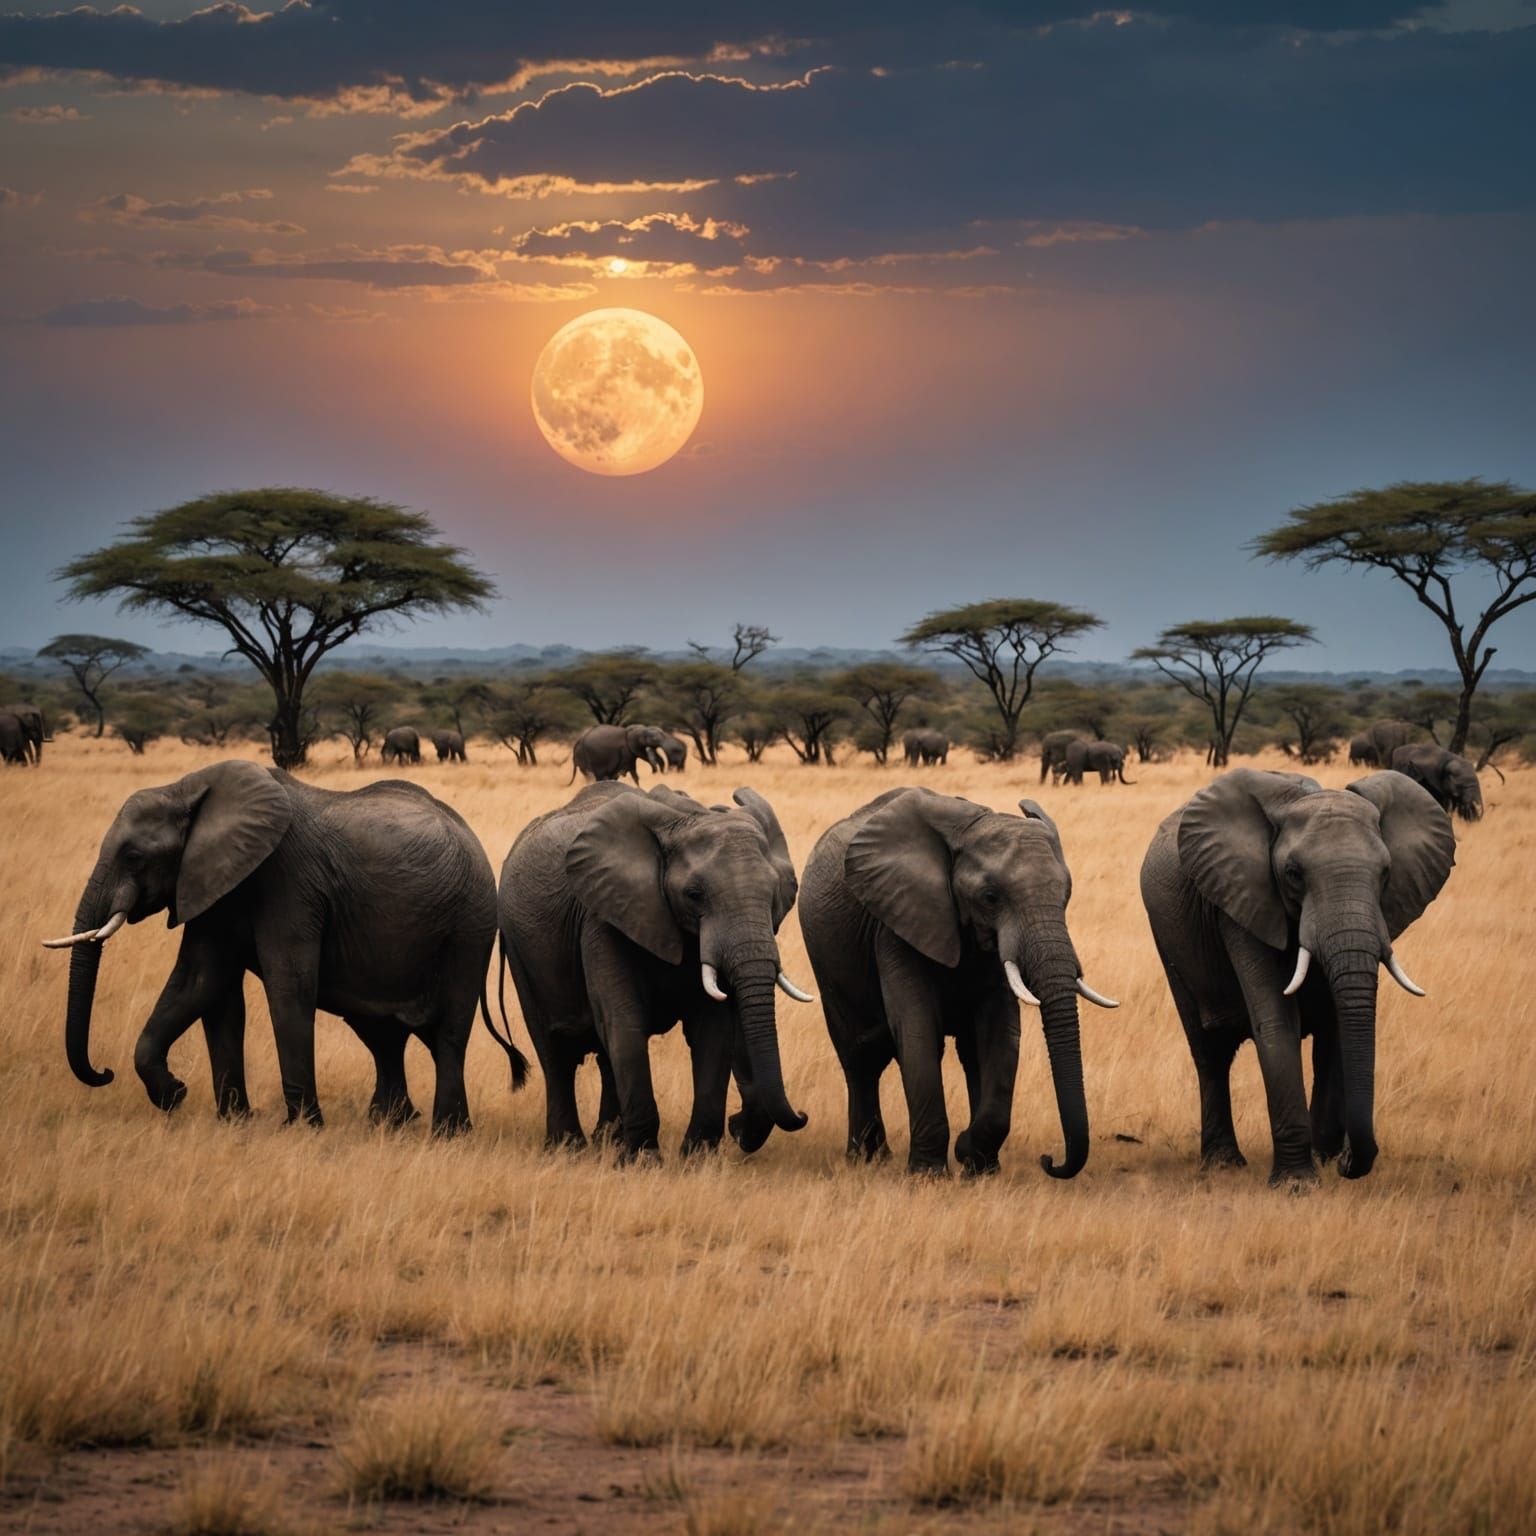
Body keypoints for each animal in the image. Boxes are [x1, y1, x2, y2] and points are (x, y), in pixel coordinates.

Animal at [42, 759, 524, 1132]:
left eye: (134, 857)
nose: (103, 1071)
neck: (188, 789)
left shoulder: (289, 881)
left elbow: (288, 985)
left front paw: (303, 1127)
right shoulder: (216, 885)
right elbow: (203, 983)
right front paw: (213, 1112)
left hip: (470, 925)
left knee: (448, 1033)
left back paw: (448, 1132)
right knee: (383, 1034)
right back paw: (391, 1124)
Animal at [498, 781, 812, 1160]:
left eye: (774, 894)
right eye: (694, 894)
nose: (802, 1114)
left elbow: (713, 1032)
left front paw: (696, 1159)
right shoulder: (602, 917)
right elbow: (625, 1022)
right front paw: (642, 1160)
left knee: (603, 1054)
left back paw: (606, 1142)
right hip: (520, 947)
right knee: (554, 1051)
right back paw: (568, 1149)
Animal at [799, 788, 1118, 1178]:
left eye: (1066, 894)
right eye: (990, 898)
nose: (1049, 1160)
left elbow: (999, 1033)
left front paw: (975, 1162)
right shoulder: (896, 923)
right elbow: (918, 1028)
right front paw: (929, 1176)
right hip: (826, 961)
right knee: (859, 1057)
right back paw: (866, 1159)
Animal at [1140, 768, 1454, 1185]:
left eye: (1386, 873)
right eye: (1293, 874)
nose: (1348, 1162)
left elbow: (1337, 1029)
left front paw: (1323, 1156)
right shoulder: (1241, 902)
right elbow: (1277, 1021)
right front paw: (1297, 1182)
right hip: (1169, 941)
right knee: (1210, 1051)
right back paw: (1223, 1164)